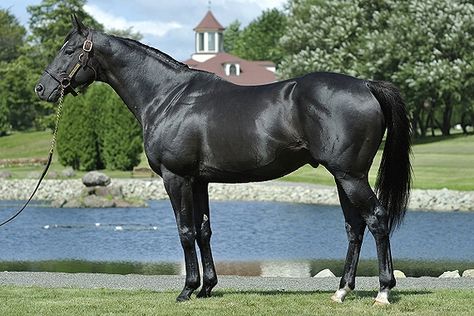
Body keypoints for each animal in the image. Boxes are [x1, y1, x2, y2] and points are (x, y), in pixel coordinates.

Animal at [35, 16, 410, 304]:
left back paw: (383, 292)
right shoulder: (199, 180)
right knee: (355, 227)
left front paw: (187, 290)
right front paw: (207, 288)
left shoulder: (176, 178)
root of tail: (365, 85)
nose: (42, 89)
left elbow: (185, 230)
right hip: (342, 177)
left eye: (69, 50)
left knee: (377, 219)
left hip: (350, 176)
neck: (168, 97)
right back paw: (342, 291)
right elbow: (204, 230)